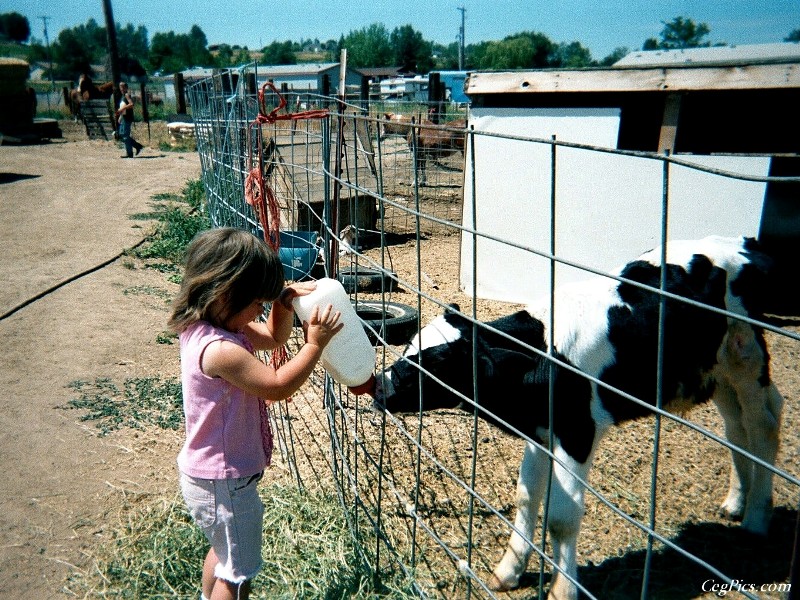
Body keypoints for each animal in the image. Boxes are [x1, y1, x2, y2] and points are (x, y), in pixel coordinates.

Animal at [374, 237, 780, 600]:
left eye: (432, 365)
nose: (379, 388)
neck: (540, 358)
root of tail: (745, 242)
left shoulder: (578, 432)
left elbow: (562, 517)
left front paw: (563, 589)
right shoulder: (541, 430)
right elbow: (526, 495)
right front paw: (508, 570)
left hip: (746, 356)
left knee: (764, 425)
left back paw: (756, 519)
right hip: (716, 371)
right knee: (736, 427)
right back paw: (736, 502)